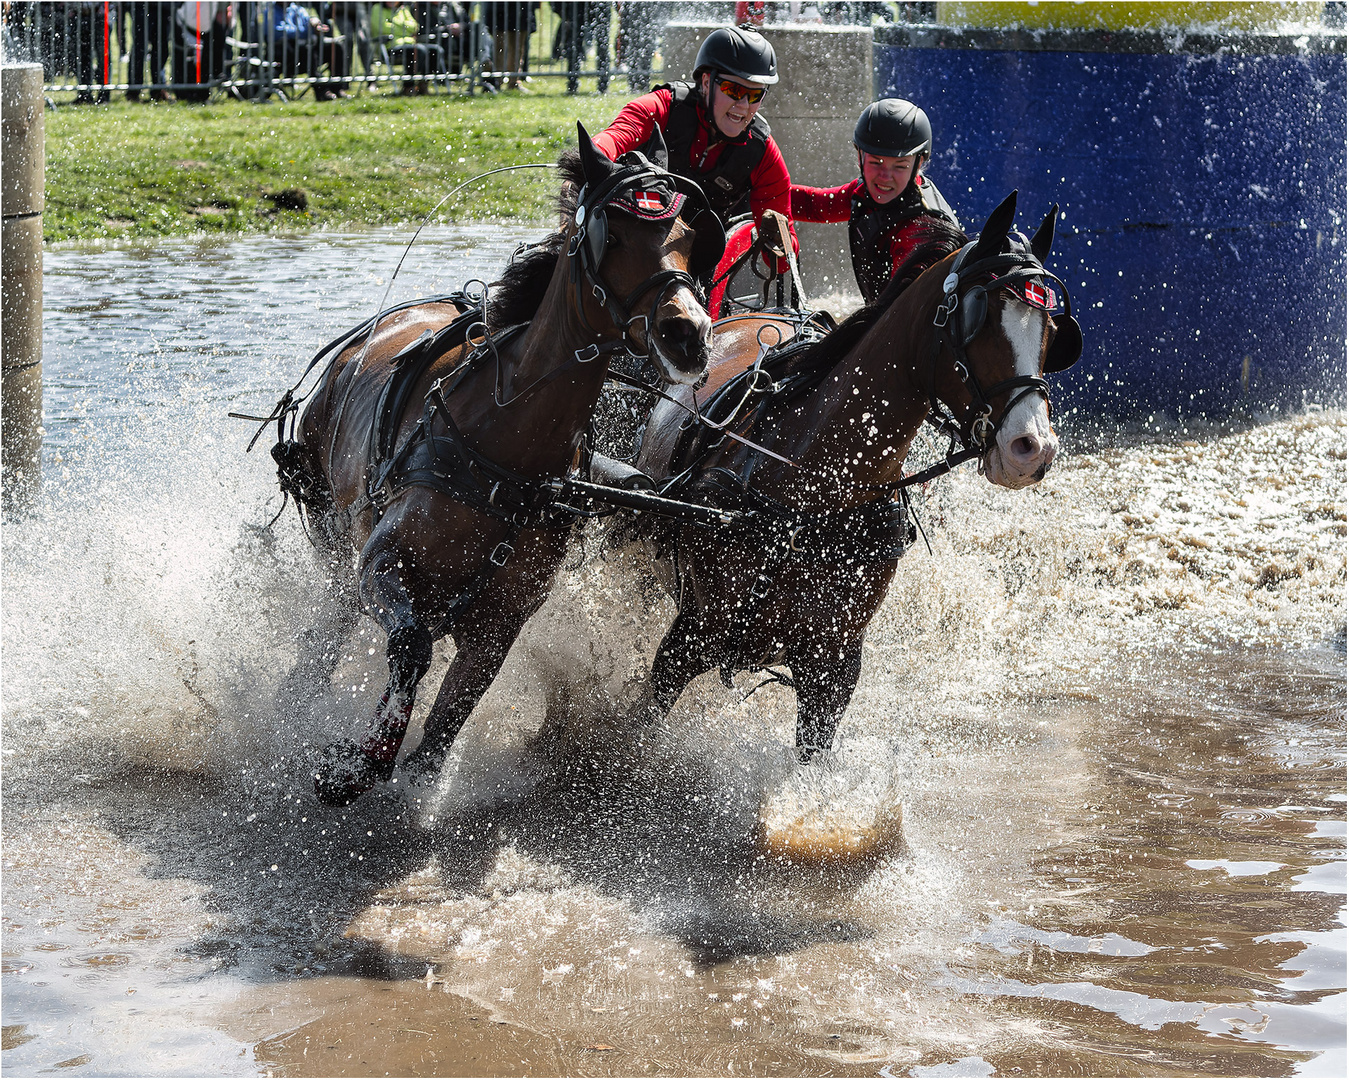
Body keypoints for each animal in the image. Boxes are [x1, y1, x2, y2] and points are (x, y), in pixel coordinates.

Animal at [272, 126, 728, 798]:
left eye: (692, 241)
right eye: (613, 236)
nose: (688, 334)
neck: (506, 445)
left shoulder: (500, 625)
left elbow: (442, 731)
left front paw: (403, 772)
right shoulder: (384, 562)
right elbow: (409, 645)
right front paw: (359, 762)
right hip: (334, 541)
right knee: (331, 625)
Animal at [631, 187, 1084, 760]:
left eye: (1051, 333)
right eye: (982, 320)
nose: (1033, 449)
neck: (815, 489)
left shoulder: (835, 667)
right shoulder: (692, 635)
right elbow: (641, 727)